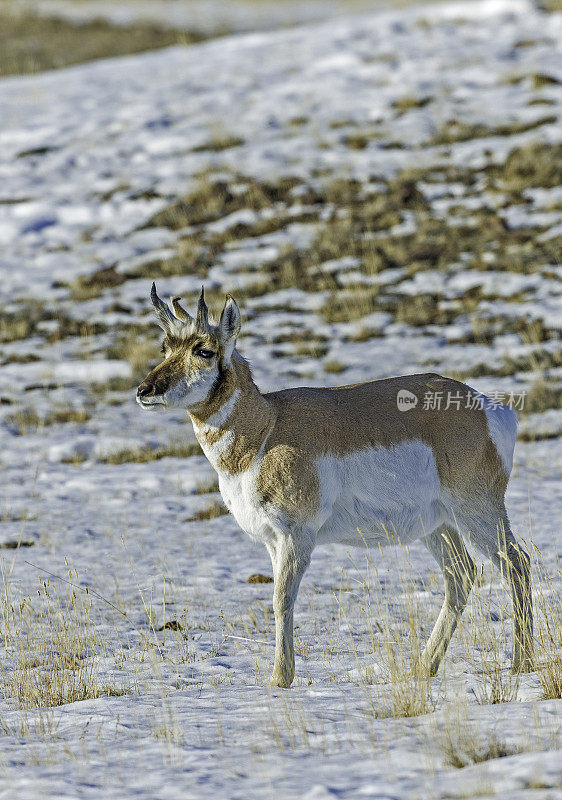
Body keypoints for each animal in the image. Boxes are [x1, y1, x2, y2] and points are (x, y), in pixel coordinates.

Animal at [138, 282, 532, 688]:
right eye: (165, 347)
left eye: (204, 350)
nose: (144, 390)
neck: (266, 428)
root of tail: (486, 407)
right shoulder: (271, 541)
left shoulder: (296, 536)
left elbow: (282, 600)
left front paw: (279, 679)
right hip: (437, 526)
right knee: (461, 576)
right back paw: (422, 668)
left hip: (476, 511)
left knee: (516, 564)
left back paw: (521, 663)